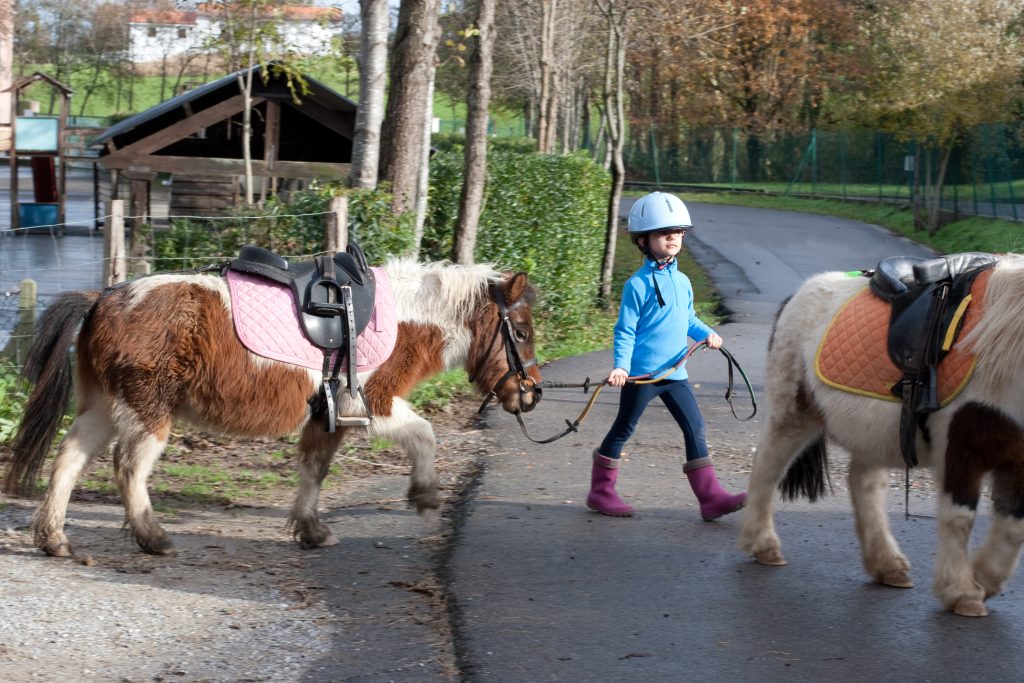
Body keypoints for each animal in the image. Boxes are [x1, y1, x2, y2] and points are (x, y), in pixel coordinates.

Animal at [4, 259, 544, 557]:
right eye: (519, 333)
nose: (532, 393)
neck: (401, 318)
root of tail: (104, 298)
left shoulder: (327, 417)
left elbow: (313, 469)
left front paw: (310, 529)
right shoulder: (376, 404)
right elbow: (426, 436)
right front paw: (427, 496)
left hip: (103, 407)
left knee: (68, 460)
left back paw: (53, 539)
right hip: (146, 411)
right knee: (128, 467)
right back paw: (152, 537)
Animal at [741, 253, 1024, 618]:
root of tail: (798, 294)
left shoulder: (1017, 458)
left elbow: (1013, 527)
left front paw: (984, 579)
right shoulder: (960, 448)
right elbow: (959, 518)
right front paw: (962, 591)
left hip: (874, 433)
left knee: (863, 482)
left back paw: (888, 565)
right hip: (793, 415)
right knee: (768, 468)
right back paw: (763, 545)